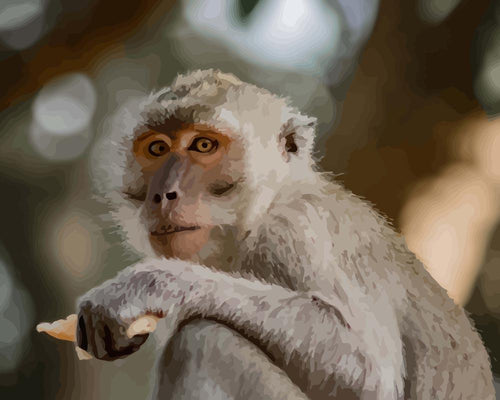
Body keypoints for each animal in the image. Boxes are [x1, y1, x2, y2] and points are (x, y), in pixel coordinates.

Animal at [59, 70, 496, 398]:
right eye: (156, 149)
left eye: (203, 145)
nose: (163, 193)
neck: (262, 211)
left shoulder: (297, 230)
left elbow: (369, 371)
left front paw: (145, 285)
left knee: (204, 341)